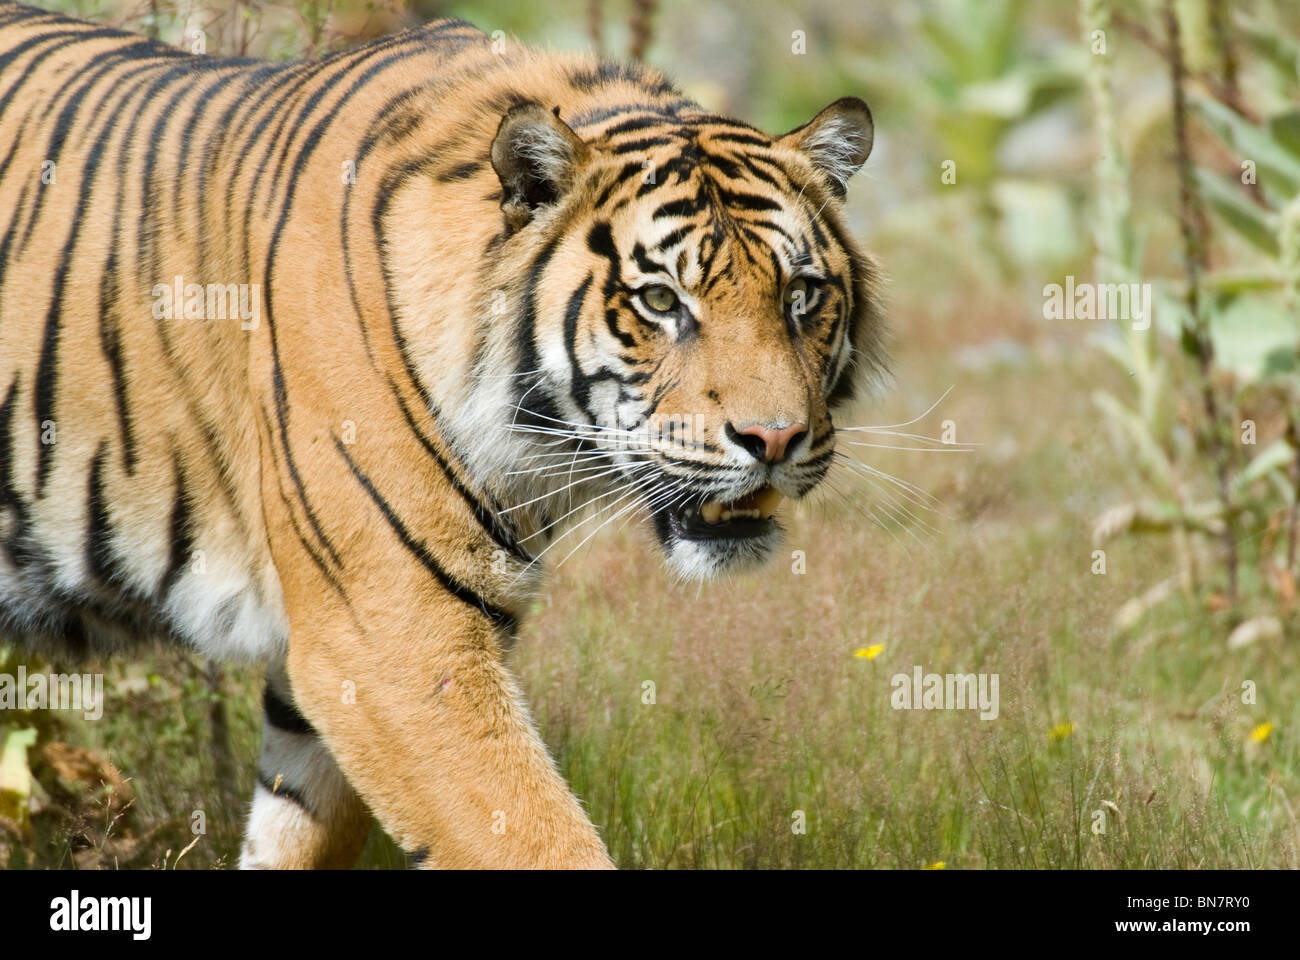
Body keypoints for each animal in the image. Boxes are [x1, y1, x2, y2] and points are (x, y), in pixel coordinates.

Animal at [0, 1, 883, 868]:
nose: (774, 439)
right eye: (661, 301)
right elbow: (535, 839)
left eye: (802, 296)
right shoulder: (396, 641)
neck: (534, 453)